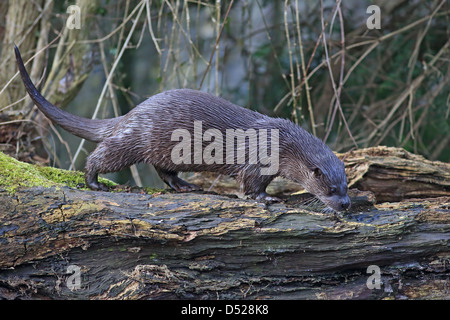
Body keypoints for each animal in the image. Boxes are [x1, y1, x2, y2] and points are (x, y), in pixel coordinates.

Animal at [14, 44, 352, 210]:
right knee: (102, 155)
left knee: (165, 171)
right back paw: (95, 183)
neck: (284, 143)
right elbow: (251, 185)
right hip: (135, 139)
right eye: (332, 189)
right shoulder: (258, 158)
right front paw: (267, 199)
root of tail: (132, 112)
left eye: (347, 187)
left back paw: (185, 185)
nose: (346, 205)